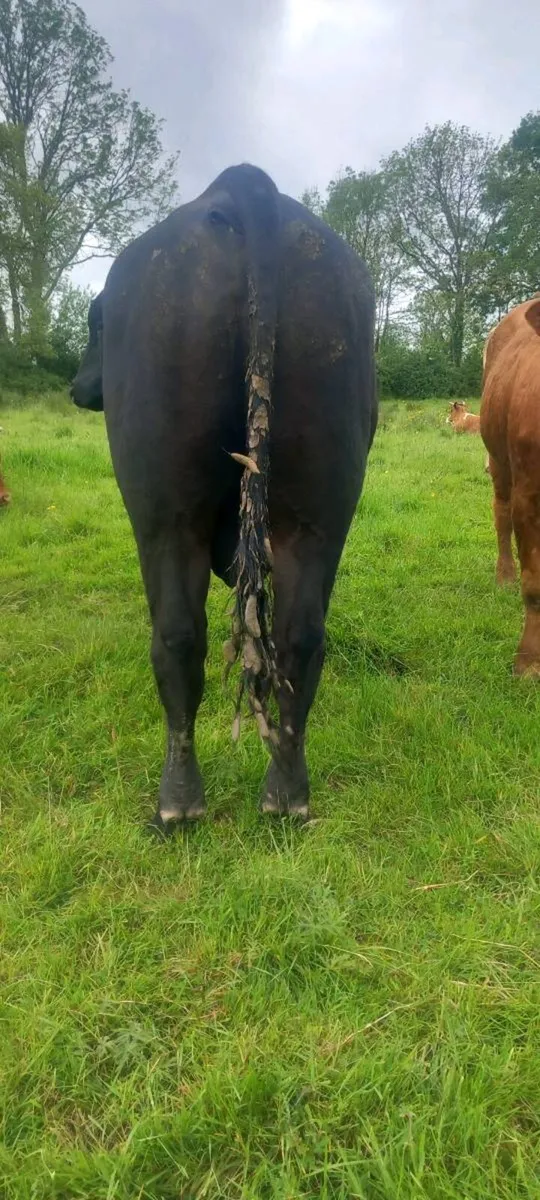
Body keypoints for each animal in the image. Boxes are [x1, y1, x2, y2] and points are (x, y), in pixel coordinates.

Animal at [72, 164, 377, 829]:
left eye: (94, 326)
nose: (78, 387)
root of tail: (244, 187)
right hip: (321, 507)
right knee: (299, 637)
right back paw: (286, 796)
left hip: (164, 512)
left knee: (178, 637)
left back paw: (178, 805)